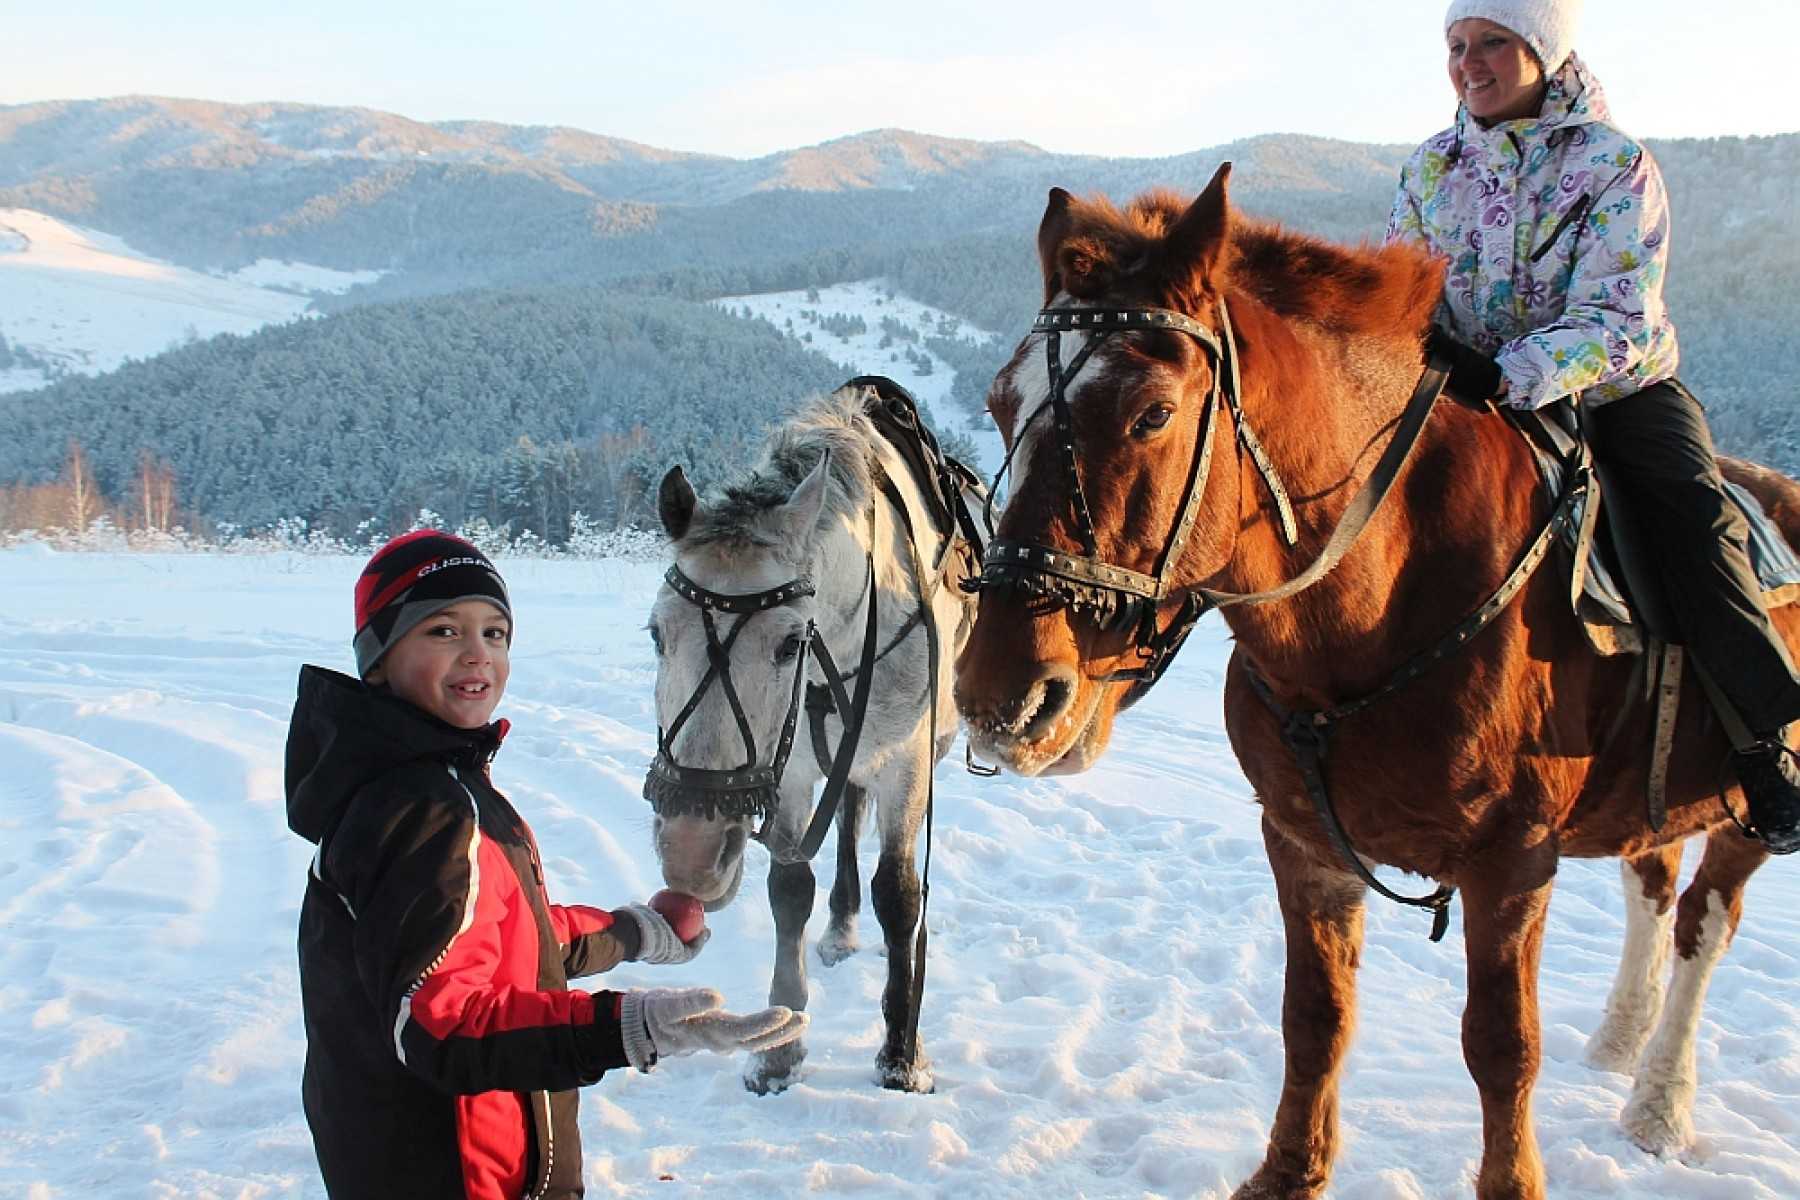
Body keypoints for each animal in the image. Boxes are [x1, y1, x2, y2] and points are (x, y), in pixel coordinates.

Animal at [648, 385, 986, 1101]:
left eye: (788, 643)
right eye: (657, 634)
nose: (692, 852)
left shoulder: (905, 762)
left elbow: (899, 893)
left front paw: (901, 1052)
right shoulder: (795, 770)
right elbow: (789, 889)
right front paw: (779, 1048)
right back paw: (839, 927)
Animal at [950, 166, 1792, 1200]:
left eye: (1152, 412)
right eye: (999, 403)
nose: (1002, 697)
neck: (1383, 601)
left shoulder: (1513, 868)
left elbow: (1503, 1049)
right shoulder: (1304, 842)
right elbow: (1315, 1021)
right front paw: (1288, 1172)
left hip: (1745, 804)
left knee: (1704, 925)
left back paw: (1660, 1102)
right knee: (1654, 887)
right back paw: (1621, 1041)